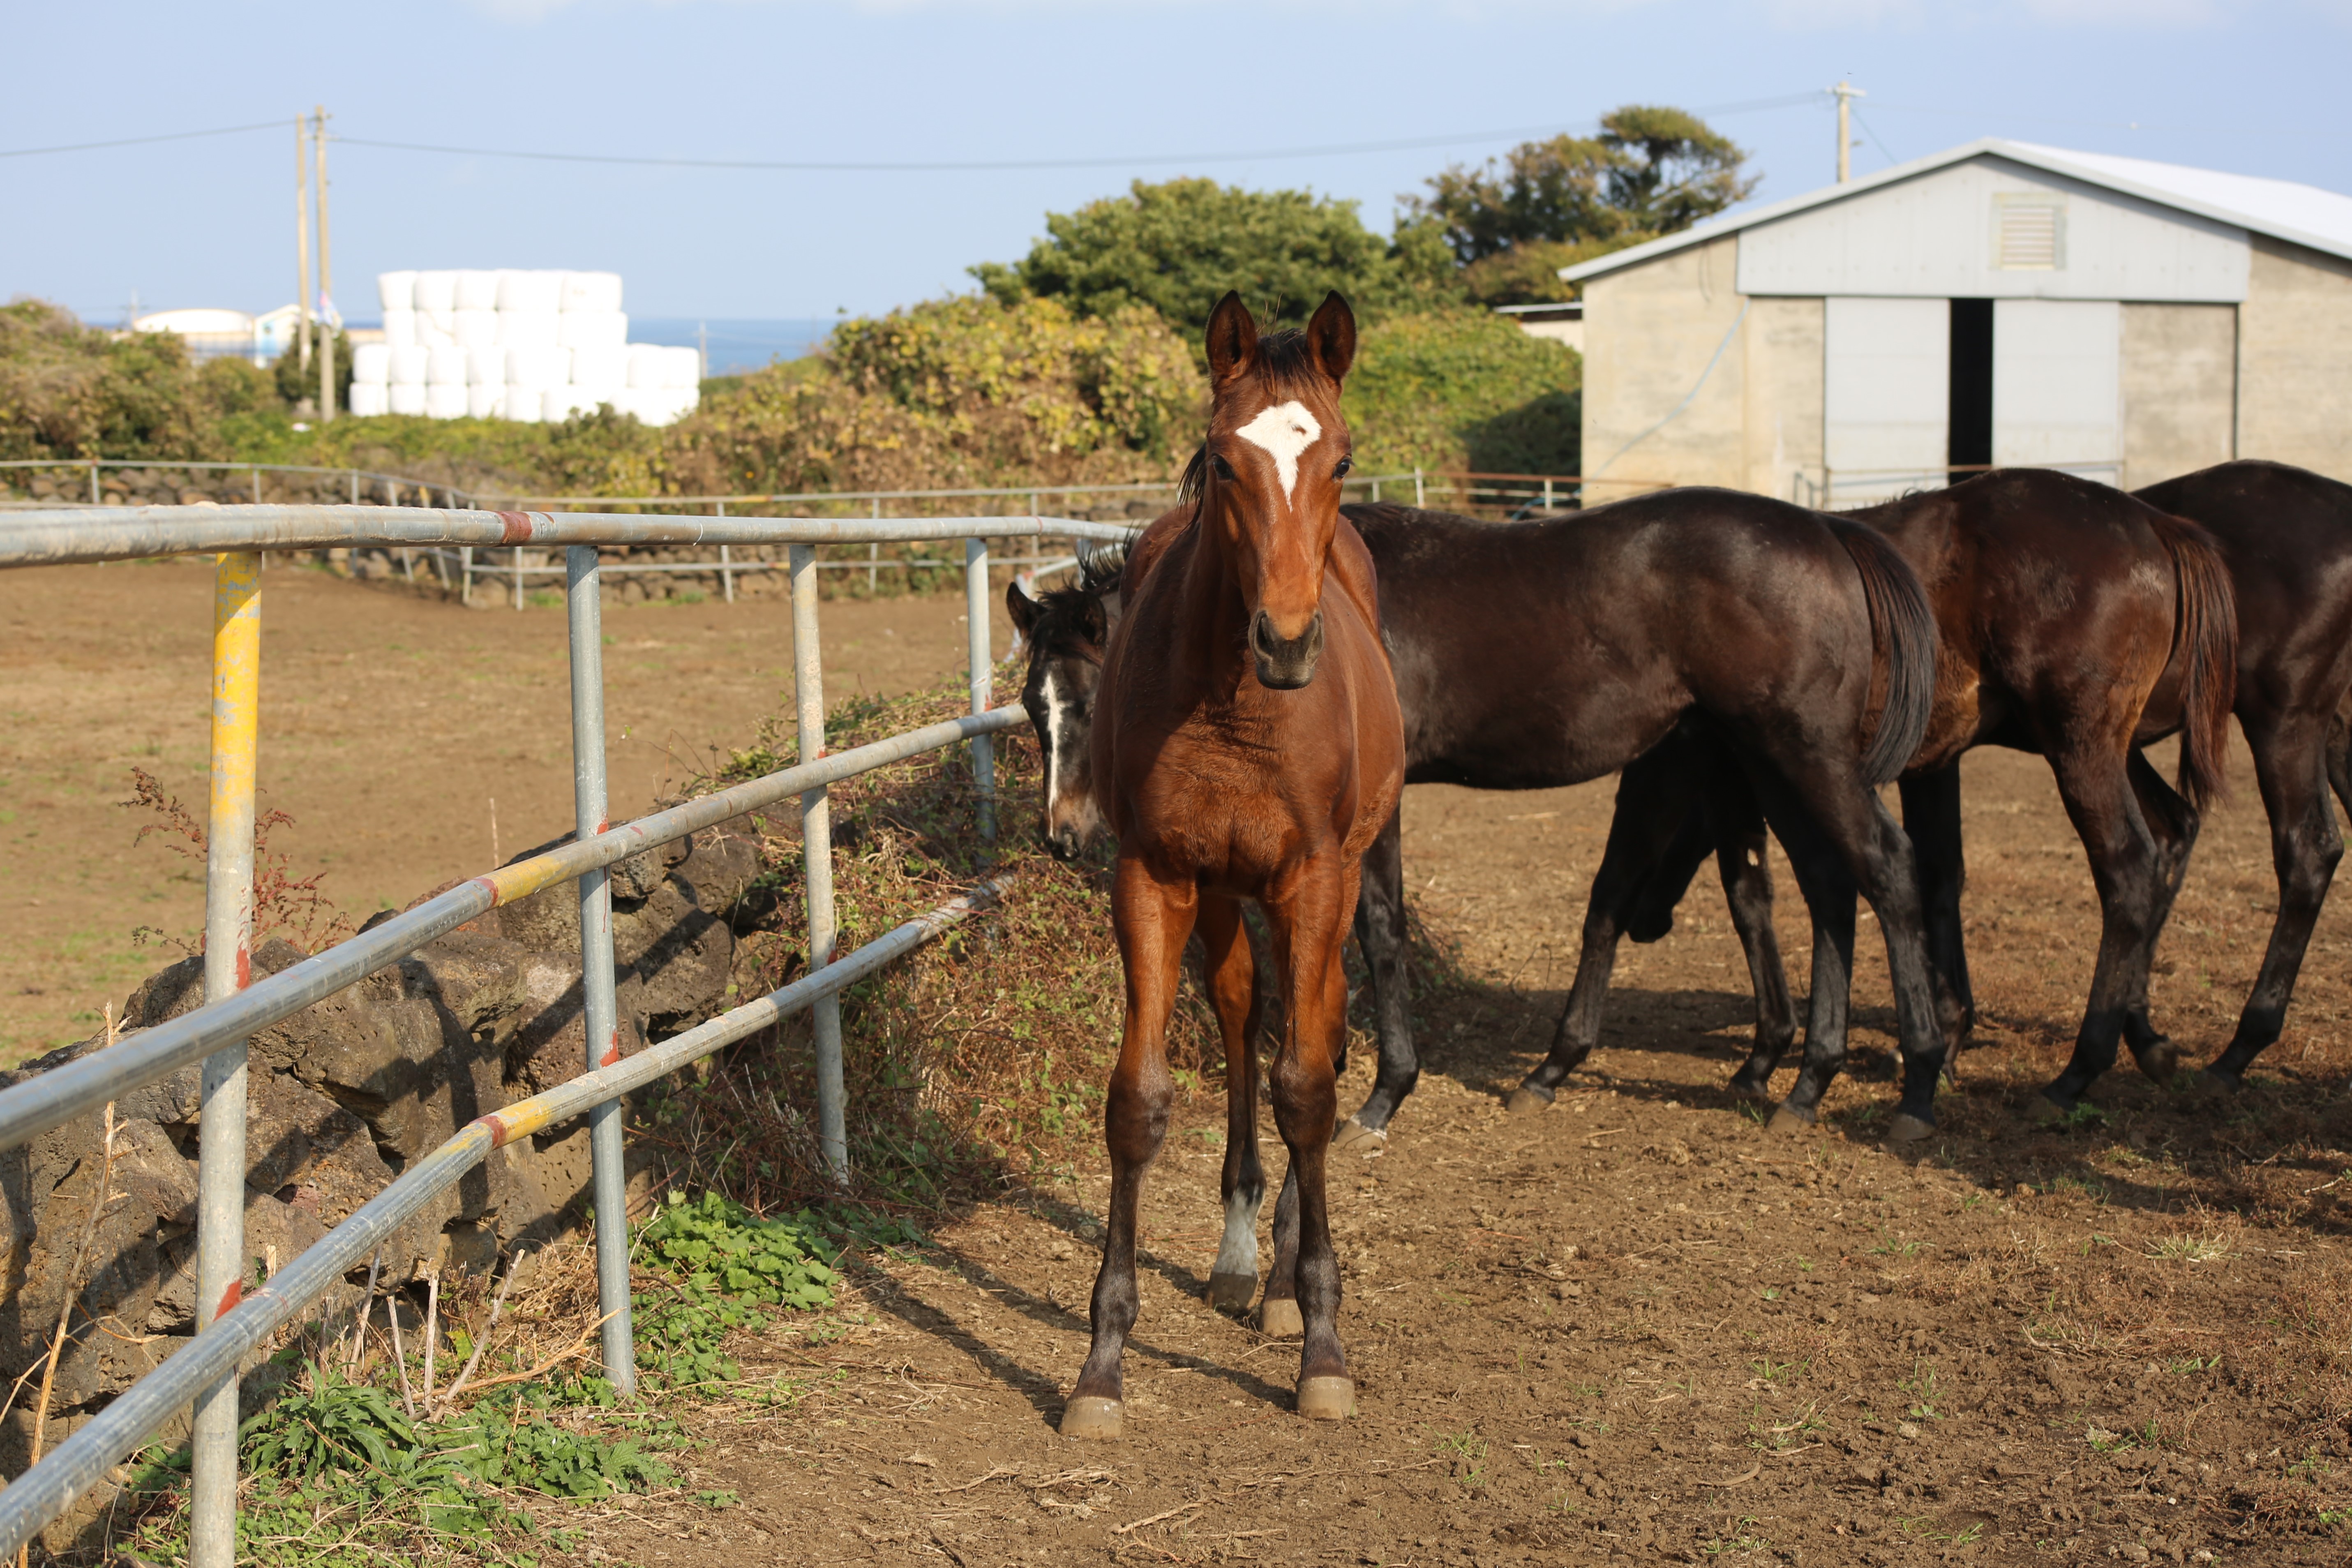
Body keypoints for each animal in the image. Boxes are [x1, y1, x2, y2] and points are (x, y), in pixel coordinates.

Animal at [1063, 288, 1401, 1439]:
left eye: (1341, 460)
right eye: (1222, 462)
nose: (1286, 641)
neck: (1233, 706)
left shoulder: (1314, 879)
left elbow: (1308, 1086)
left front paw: (1324, 1347)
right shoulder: (1154, 876)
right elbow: (1139, 1101)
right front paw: (1100, 1363)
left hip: (1338, 879)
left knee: (1319, 1030)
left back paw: (1289, 1275)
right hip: (1220, 896)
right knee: (1246, 1009)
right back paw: (1242, 1254)